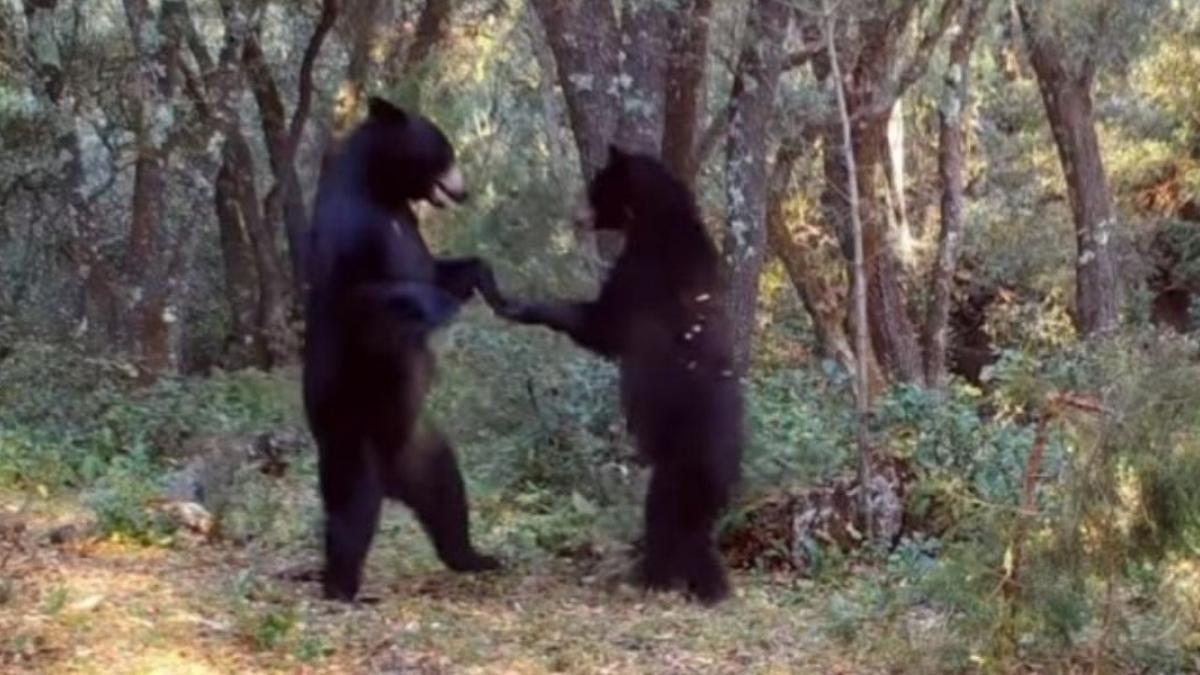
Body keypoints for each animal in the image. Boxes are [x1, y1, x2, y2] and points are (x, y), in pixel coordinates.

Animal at [307, 96, 504, 598]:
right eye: (446, 151)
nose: (465, 191)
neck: (380, 189)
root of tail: (394, 480)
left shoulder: (409, 227)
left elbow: (438, 269)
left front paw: (488, 284)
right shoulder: (353, 231)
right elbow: (370, 295)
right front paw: (438, 310)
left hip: (424, 448)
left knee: (447, 496)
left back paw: (475, 557)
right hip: (352, 438)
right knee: (350, 512)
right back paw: (341, 587)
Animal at [489, 148, 739, 605]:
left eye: (595, 188)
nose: (575, 216)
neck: (658, 220)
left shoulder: (643, 274)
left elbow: (603, 324)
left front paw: (519, 303)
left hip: (678, 464)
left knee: (667, 518)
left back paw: (659, 577)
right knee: (695, 528)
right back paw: (704, 583)